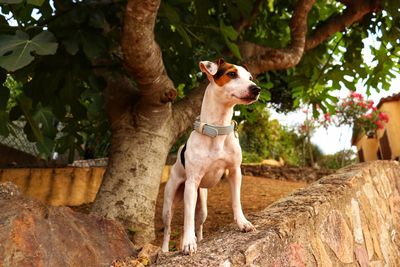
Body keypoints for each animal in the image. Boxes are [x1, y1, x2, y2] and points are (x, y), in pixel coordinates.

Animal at [162, 58, 260, 255]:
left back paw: (199, 238)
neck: (218, 129)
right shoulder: (192, 183)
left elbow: (236, 201)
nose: (256, 89)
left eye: (250, 78)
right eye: (231, 74)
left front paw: (243, 223)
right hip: (170, 202)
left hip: (203, 205)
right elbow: (187, 218)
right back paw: (165, 250)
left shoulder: (235, 172)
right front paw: (188, 243)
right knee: (169, 228)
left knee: (198, 223)